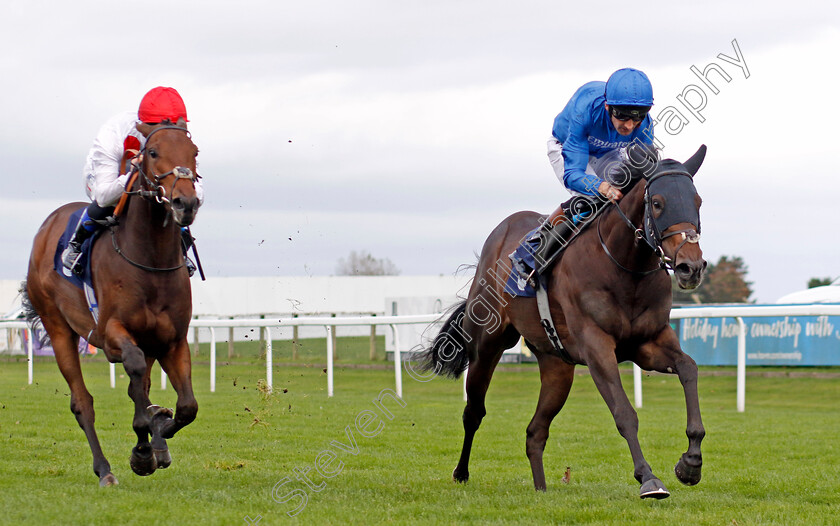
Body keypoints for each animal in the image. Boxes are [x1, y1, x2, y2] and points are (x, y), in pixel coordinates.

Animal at [23, 119, 202, 486]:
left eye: (194, 152)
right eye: (152, 152)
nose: (185, 203)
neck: (150, 261)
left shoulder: (172, 340)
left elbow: (187, 406)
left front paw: (158, 435)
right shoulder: (109, 335)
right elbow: (135, 378)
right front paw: (145, 441)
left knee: (141, 386)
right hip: (58, 327)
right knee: (83, 403)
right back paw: (105, 469)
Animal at [420, 146, 708, 502]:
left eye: (697, 201)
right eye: (657, 203)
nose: (690, 267)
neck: (624, 267)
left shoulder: (648, 343)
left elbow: (689, 368)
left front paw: (690, 463)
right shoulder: (597, 347)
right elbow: (624, 412)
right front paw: (648, 478)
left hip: (557, 365)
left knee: (535, 431)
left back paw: (541, 488)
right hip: (487, 344)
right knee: (473, 412)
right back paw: (461, 473)